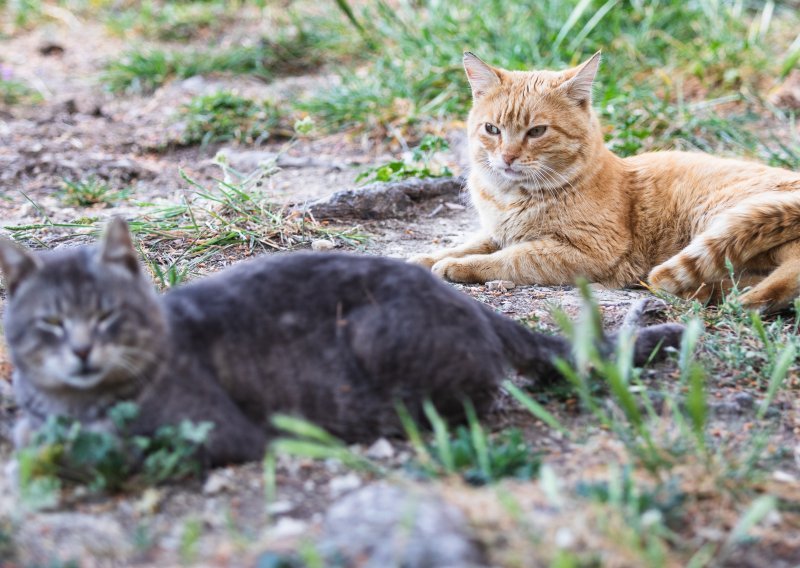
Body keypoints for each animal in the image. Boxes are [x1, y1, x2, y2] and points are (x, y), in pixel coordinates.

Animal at [1, 220, 688, 464]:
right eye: (50, 325)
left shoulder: (217, 431)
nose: (82, 350)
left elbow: (123, 440)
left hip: (379, 334)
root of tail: (471, 304)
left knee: (474, 396)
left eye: (107, 316)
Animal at [410, 50, 800, 310]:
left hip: (723, 217)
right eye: (492, 129)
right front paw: (428, 259)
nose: (507, 157)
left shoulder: (586, 250)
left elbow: (512, 258)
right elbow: (469, 244)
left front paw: (457, 267)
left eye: (536, 131)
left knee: (790, 265)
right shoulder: (496, 232)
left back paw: (743, 298)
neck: (511, 196)